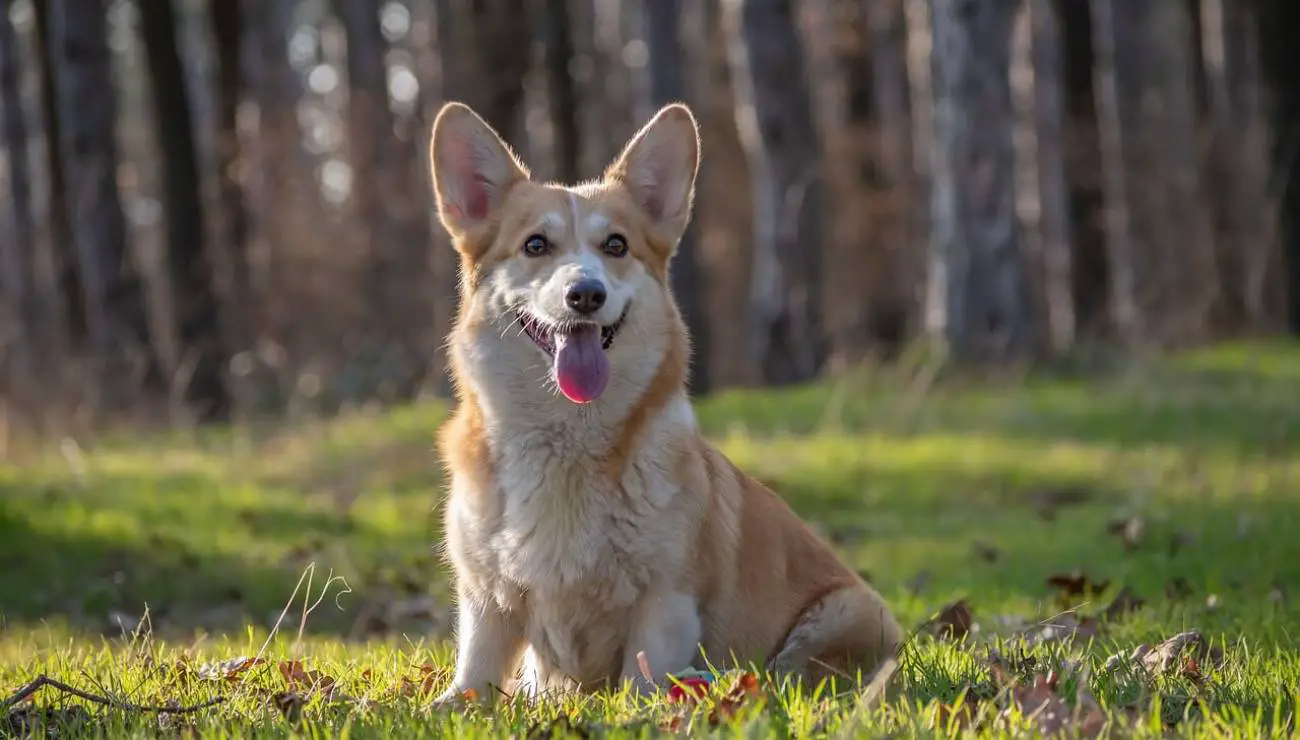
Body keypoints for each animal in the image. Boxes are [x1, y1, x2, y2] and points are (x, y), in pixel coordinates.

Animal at [431, 100, 899, 702]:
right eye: (535, 244)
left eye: (616, 245)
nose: (586, 295)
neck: (566, 441)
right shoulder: (486, 600)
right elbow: (475, 677)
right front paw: (455, 704)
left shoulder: (667, 601)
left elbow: (642, 683)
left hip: (845, 612)